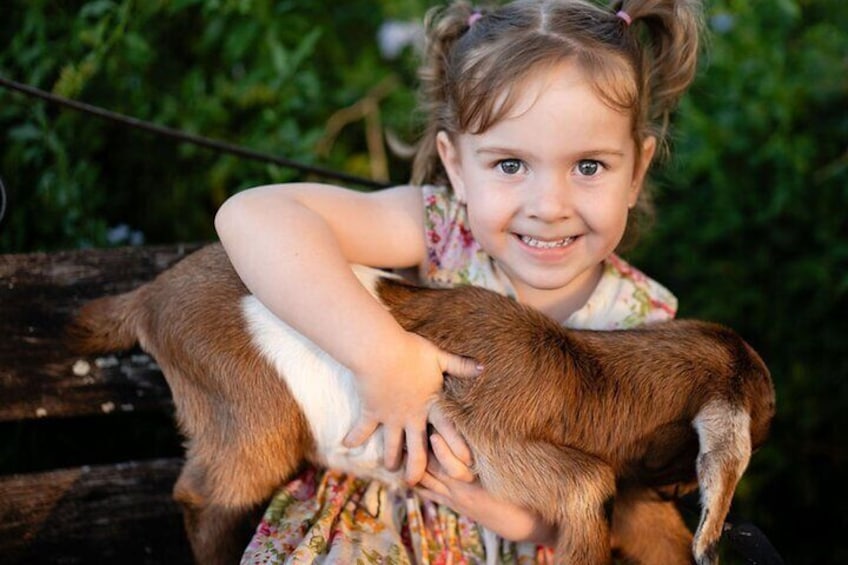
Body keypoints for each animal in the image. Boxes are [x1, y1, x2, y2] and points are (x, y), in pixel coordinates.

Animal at [66, 242, 776, 564]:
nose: (681, 491)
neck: (583, 374)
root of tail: (149, 296)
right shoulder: (491, 431)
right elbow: (587, 485)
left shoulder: (633, 498)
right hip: (242, 402)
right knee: (208, 488)